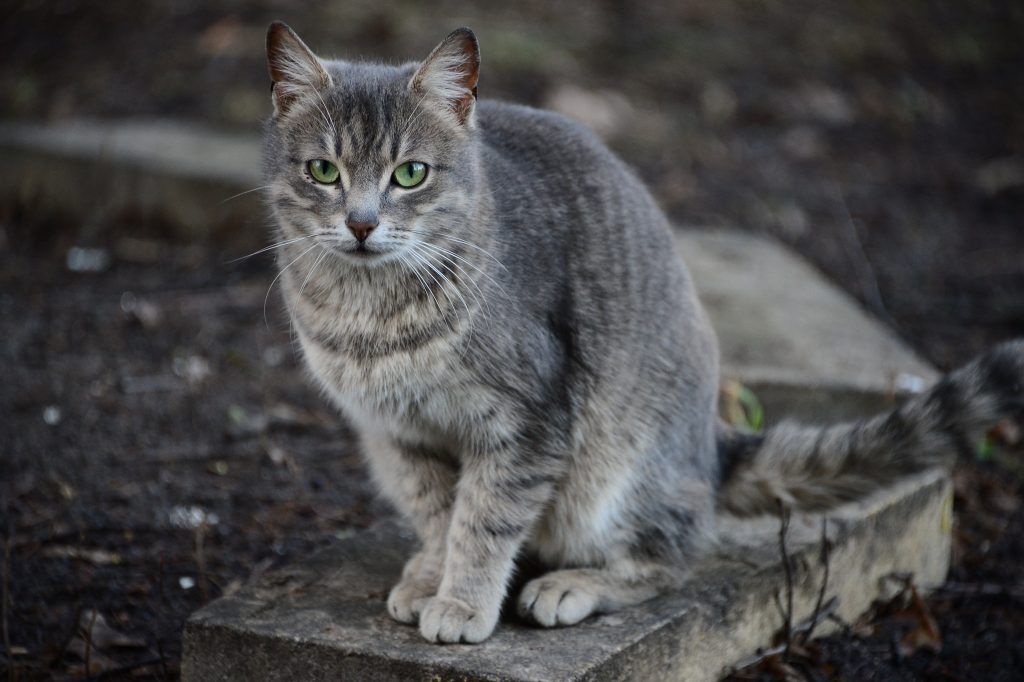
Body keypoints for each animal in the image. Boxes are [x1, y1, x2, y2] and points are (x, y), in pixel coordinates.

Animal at [258, 19, 1024, 638]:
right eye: (324, 169)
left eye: (410, 173)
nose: (361, 223)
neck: (370, 316)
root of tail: (710, 447)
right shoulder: (399, 436)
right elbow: (439, 514)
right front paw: (431, 573)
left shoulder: (526, 422)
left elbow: (485, 520)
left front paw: (463, 602)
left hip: (615, 470)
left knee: (671, 556)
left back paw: (570, 584)